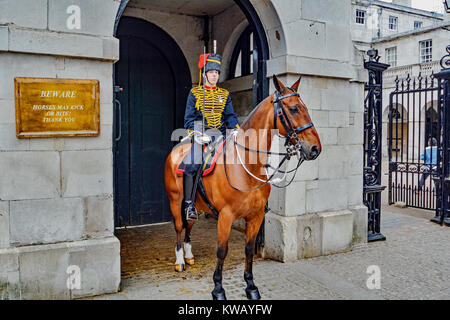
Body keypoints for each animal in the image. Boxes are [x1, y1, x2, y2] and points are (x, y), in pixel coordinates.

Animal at [163, 75, 322, 300]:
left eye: (305, 107)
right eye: (293, 109)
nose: (315, 148)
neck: (246, 166)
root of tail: (177, 149)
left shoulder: (256, 216)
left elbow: (248, 249)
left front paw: (251, 286)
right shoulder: (225, 216)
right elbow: (222, 251)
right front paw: (218, 289)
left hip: (193, 205)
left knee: (189, 225)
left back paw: (189, 255)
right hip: (175, 201)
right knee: (178, 227)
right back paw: (179, 261)